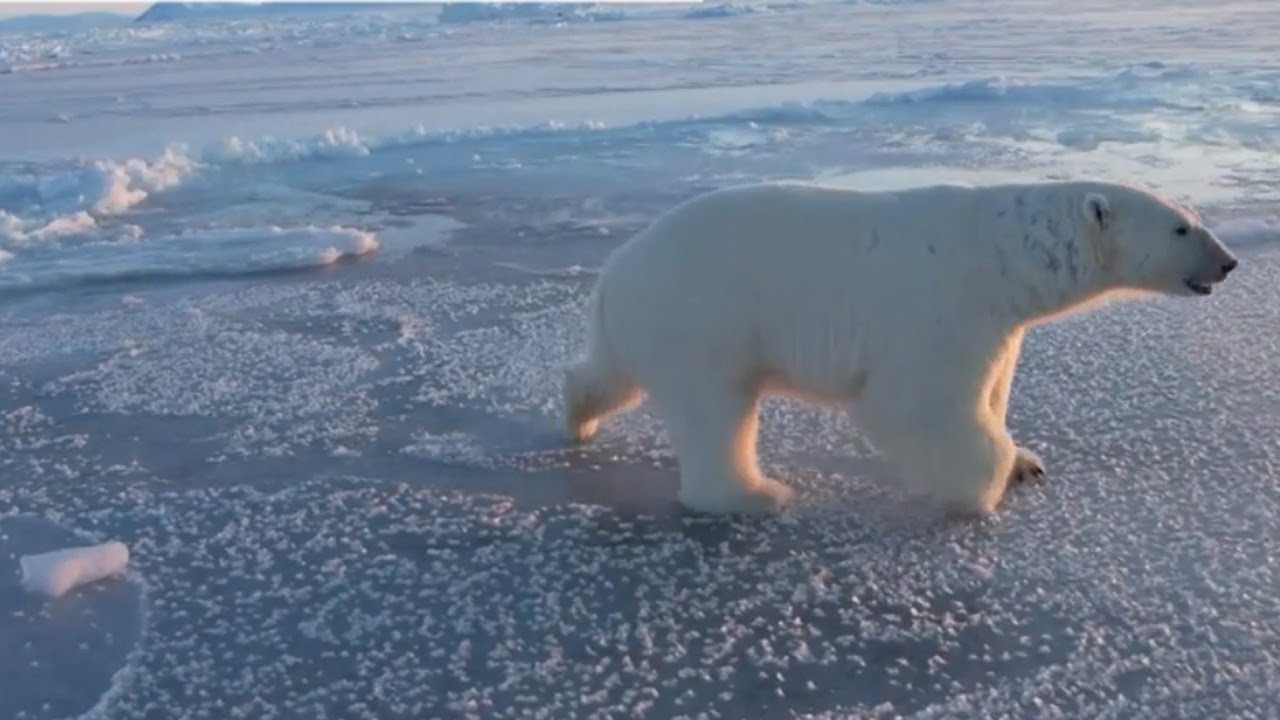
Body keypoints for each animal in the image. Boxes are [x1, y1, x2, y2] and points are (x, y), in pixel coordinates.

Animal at [563, 179, 1239, 515]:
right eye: (1182, 228)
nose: (1229, 261)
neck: (999, 253)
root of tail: (613, 272)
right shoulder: (942, 308)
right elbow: (918, 404)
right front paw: (984, 487)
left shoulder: (999, 322)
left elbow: (994, 386)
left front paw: (1026, 462)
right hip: (705, 319)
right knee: (716, 413)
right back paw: (753, 495)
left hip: (643, 324)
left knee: (610, 374)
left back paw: (577, 416)